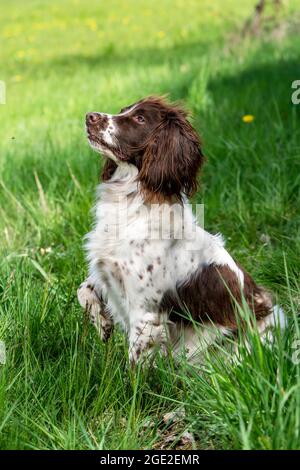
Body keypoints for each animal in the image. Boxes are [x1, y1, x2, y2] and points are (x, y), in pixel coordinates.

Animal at [76, 97, 284, 366]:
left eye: (140, 119)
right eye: (123, 111)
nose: (90, 116)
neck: (133, 201)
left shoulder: (146, 312)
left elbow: (135, 365)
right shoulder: (108, 273)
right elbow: (84, 289)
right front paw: (102, 323)